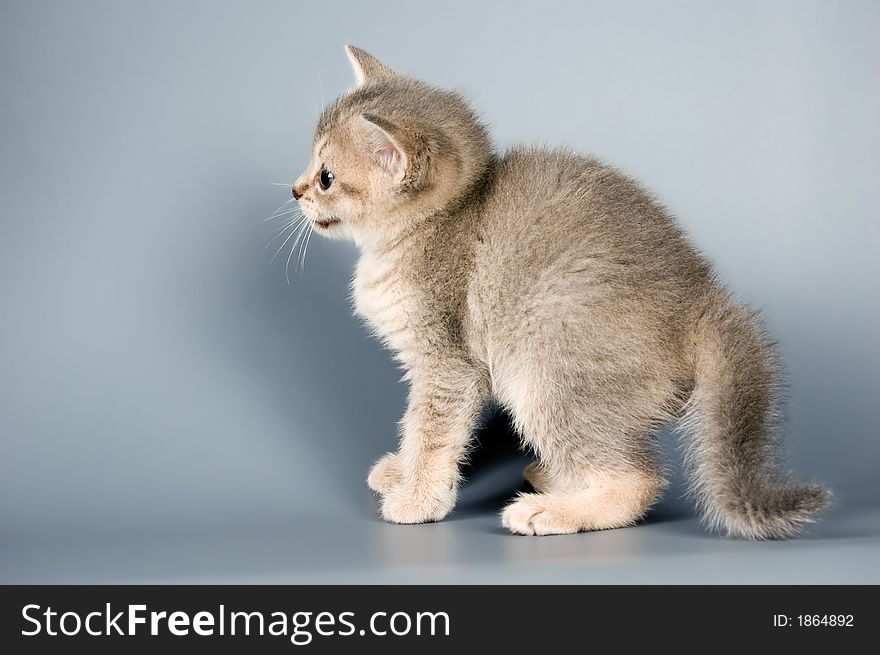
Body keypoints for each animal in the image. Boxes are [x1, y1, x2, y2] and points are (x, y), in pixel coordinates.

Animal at [292, 44, 828, 540]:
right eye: (311, 166)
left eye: (326, 177)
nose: (296, 190)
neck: (433, 224)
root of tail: (701, 299)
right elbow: (414, 427)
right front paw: (403, 473)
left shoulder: (447, 363)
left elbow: (430, 431)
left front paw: (417, 498)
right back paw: (555, 478)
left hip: (545, 370)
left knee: (639, 478)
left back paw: (549, 511)